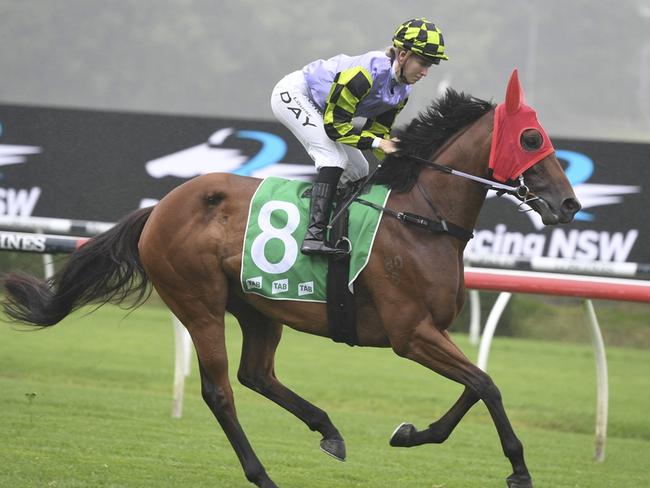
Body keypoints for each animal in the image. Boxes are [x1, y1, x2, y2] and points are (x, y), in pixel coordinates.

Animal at [0, 69, 576, 488]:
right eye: (531, 138)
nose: (568, 204)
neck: (419, 217)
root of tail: (159, 208)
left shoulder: (431, 330)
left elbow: (478, 385)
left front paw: (411, 433)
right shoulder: (410, 333)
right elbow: (485, 384)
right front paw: (519, 469)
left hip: (257, 307)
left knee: (256, 374)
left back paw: (329, 430)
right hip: (198, 303)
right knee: (220, 391)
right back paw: (263, 475)